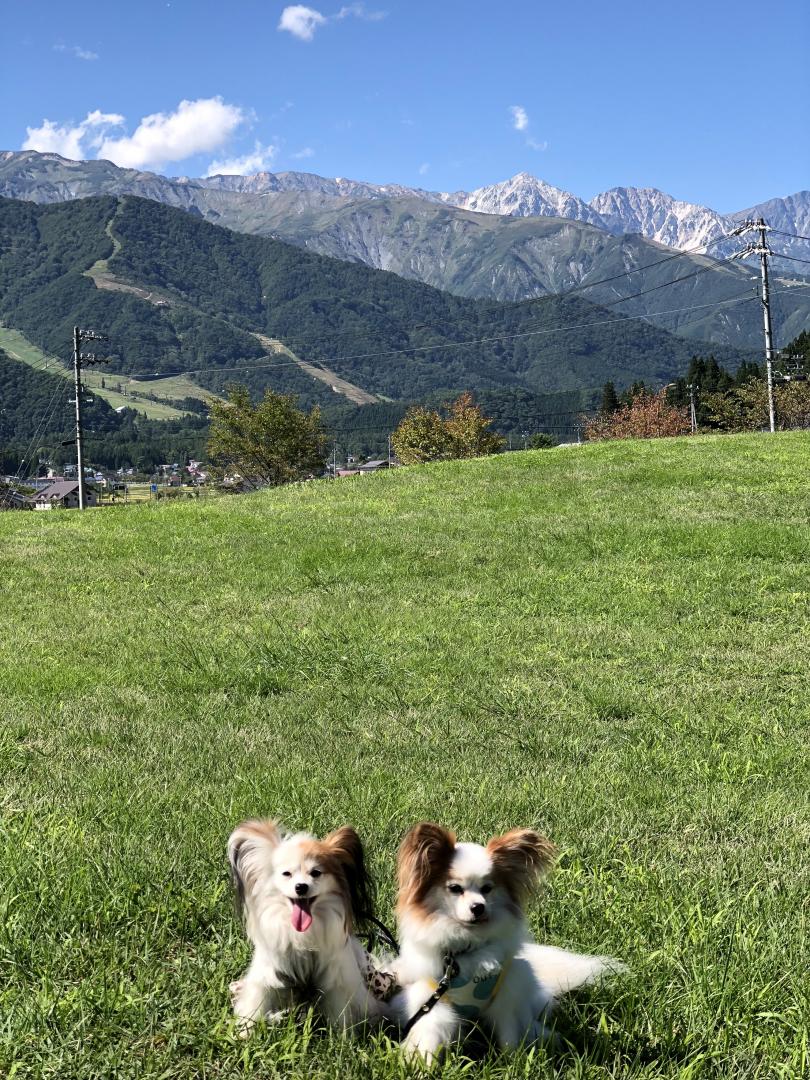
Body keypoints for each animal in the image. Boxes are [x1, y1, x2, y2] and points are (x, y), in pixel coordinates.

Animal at [228, 816, 390, 1036]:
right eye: (286, 874)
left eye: (316, 873)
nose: (301, 887)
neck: (302, 934)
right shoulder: (268, 974)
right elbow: (255, 1004)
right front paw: (244, 1033)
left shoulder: (334, 982)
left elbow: (340, 1015)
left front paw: (342, 1039)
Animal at [393, 825, 622, 1062]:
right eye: (455, 888)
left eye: (487, 889)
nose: (478, 907)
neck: (468, 947)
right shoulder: (432, 1001)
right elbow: (431, 1034)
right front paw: (422, 1061)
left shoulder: (506, 997)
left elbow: (509, 1036)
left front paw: (514, 1061)